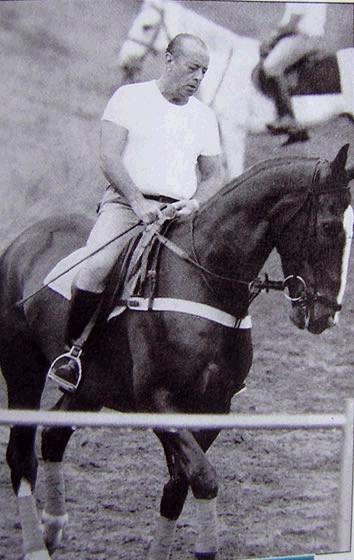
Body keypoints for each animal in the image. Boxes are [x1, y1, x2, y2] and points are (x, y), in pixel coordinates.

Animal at [0, 145, 352, 560]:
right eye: (329, 228)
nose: (325, 315)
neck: (205, 279)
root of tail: (23, 240)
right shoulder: (159, 402)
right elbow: (203, 478)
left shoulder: (214, 408)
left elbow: (178, 486)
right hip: (23, 370)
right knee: (22, 456)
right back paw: (37, 545)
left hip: (91, 388)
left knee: (54, 437)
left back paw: (54, 529)